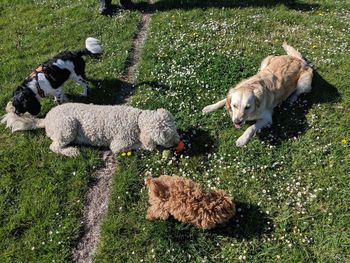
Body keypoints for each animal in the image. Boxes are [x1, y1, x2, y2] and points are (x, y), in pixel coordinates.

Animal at [2, 102, 182, 157]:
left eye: (175, 129)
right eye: (167, 136)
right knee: (54, 147)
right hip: (67, 127)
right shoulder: (118, 144)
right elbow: (140, 145)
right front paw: (148, 146)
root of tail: (46, 119)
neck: (136, 120)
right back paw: (72, 152)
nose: (178, 141)